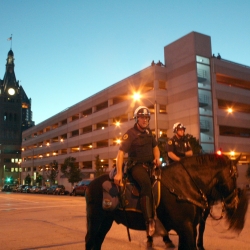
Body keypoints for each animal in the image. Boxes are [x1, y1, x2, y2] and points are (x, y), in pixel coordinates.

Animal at [84, 153, 248, 249]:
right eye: (234, 176)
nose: (234, 202)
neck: (185, 183)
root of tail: (90, 184)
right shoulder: (185, 227)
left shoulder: (190, 228)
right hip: (96, 219)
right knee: (90, 240)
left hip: (106, 220)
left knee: (97, 241)